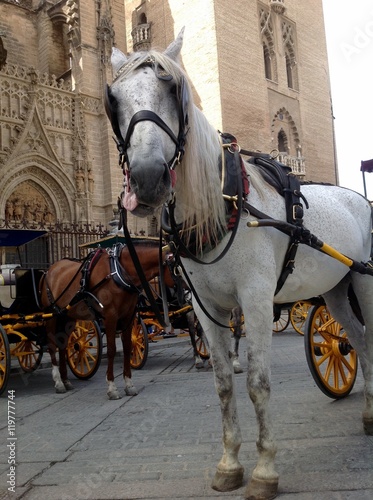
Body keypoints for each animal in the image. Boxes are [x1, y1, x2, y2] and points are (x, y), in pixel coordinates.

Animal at [39, 240, 166, 400]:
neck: (119, 270)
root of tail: (48, 270)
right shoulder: (110, 317)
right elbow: (111, 350)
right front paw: (112, 387)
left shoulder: (128, 317)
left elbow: (127, 347)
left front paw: (129, 385)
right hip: (51, 314)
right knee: (52, 345)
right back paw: (58, 382)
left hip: (67, 317)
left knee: (62, 345)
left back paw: (66, 380)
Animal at [104, 30, 372, 500]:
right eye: (113, 99)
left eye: (174, 90)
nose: (148, 179)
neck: (221, 207)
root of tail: (355, 196)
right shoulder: (205, 308)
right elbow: (224, 384)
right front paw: (230, 463)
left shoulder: (257, 302)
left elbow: (257, 384)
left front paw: (265, 470)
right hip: (336, 291)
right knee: (354, 339)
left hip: (365, 281)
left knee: (370, 338)